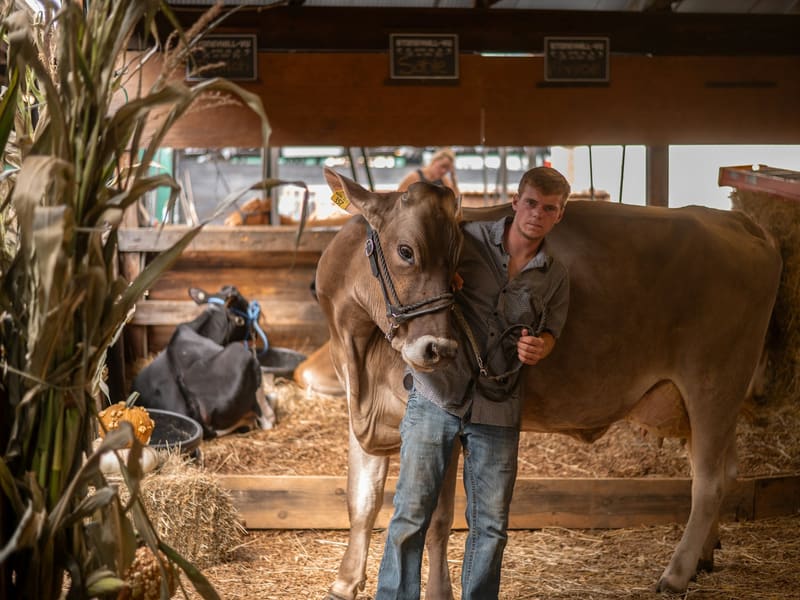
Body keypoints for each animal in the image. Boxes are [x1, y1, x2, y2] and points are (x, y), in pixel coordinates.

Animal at [313, 175, 783, 599]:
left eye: (457, 261)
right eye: (406, 251)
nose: (440, 348)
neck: (362, 350)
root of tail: (735, 220)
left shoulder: (440, 415)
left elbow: (437, 521)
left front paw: (438, 592)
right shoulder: (360, 410)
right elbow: (361, 500)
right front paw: (345, 582)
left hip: (713, 383)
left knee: (708, 480)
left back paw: (677, 573)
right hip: (710, 399)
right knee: (725, 468)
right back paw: (704, 555)